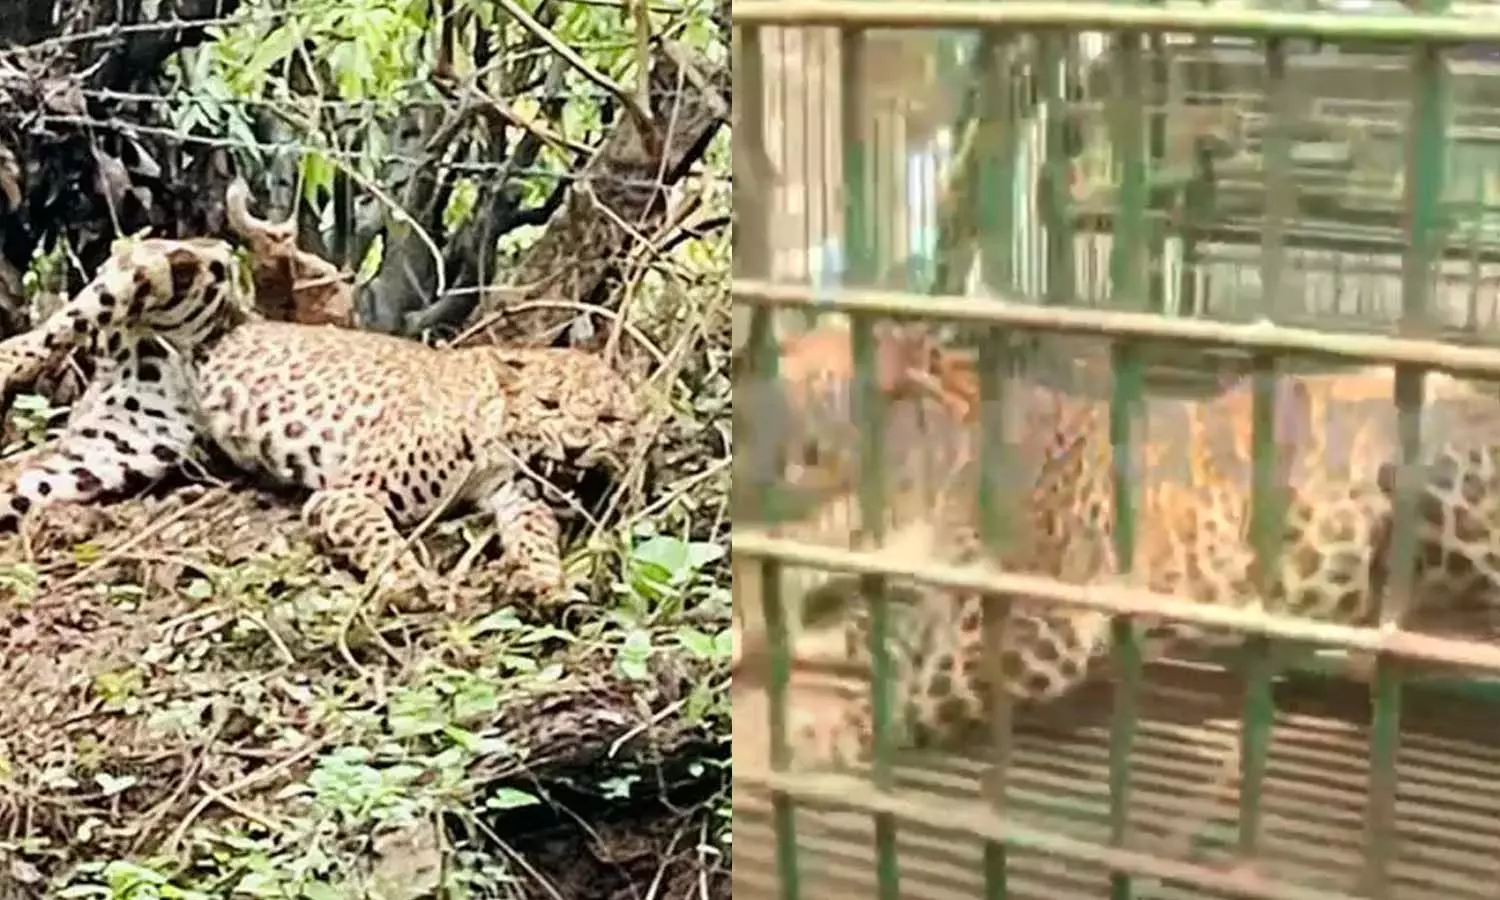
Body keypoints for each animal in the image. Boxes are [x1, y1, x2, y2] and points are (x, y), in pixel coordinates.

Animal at [0, 235, 640, 608]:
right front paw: (408, 581)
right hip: (195, 262)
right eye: (549, 406)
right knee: (71, 314)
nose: (578, 448)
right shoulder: (347, 494)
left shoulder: (517, 499)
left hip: (118, 449)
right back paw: (11, 360)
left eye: (609, 419)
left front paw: (546, 580)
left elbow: (537, 533)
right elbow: (380, 536)